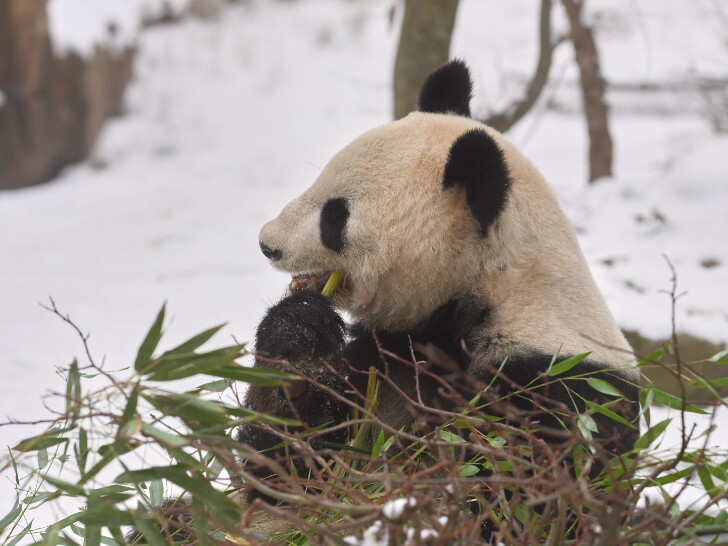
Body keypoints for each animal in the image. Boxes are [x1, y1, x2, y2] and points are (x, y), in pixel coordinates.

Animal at [240, 59, 641, 536]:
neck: (489, 286)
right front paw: (298, 337)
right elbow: (285, 471)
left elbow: (509, 497)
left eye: (335, 216)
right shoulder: (390, 352)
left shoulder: (558, 387)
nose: (266, 244)